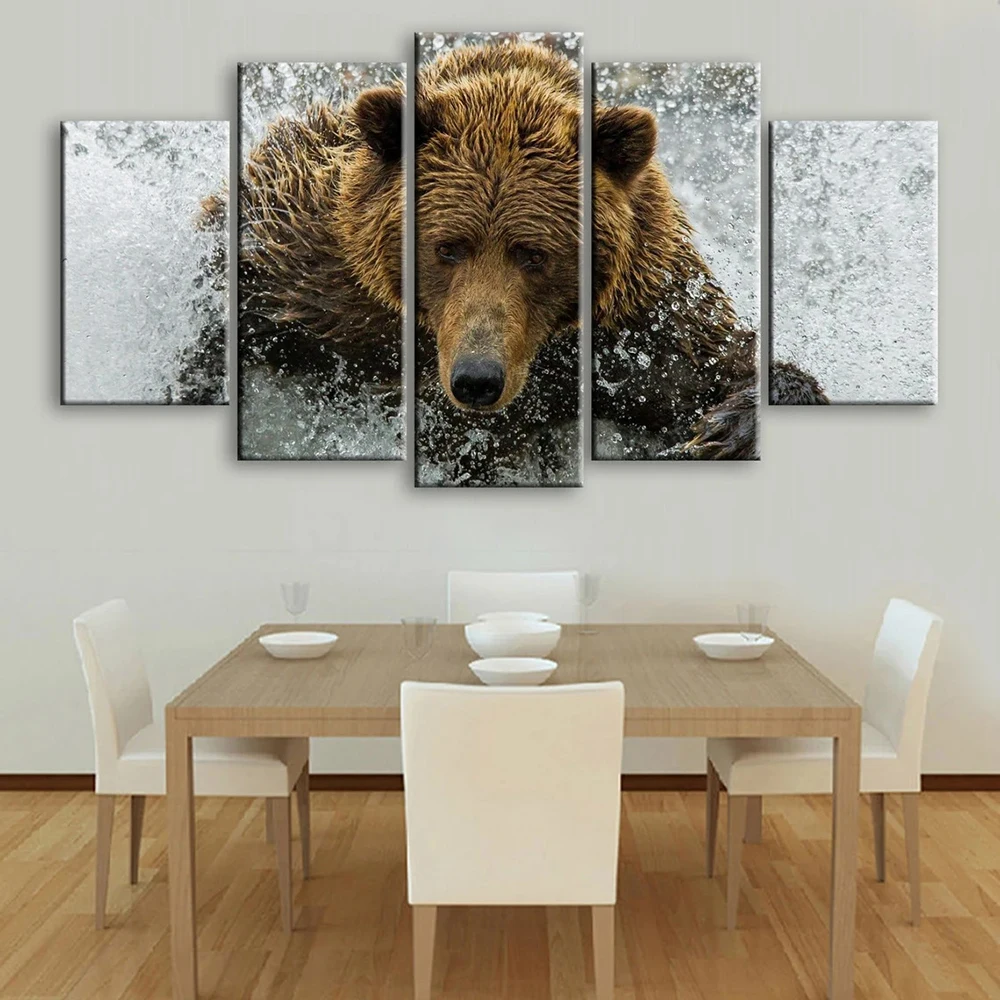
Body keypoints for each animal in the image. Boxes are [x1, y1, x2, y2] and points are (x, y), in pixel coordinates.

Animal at [214, 40, 826, 478]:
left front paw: (725, 427)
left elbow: (715, 357)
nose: (476, 378)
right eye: (447, 247)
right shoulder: (305, 264)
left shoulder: (644, 324)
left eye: (534, 254)